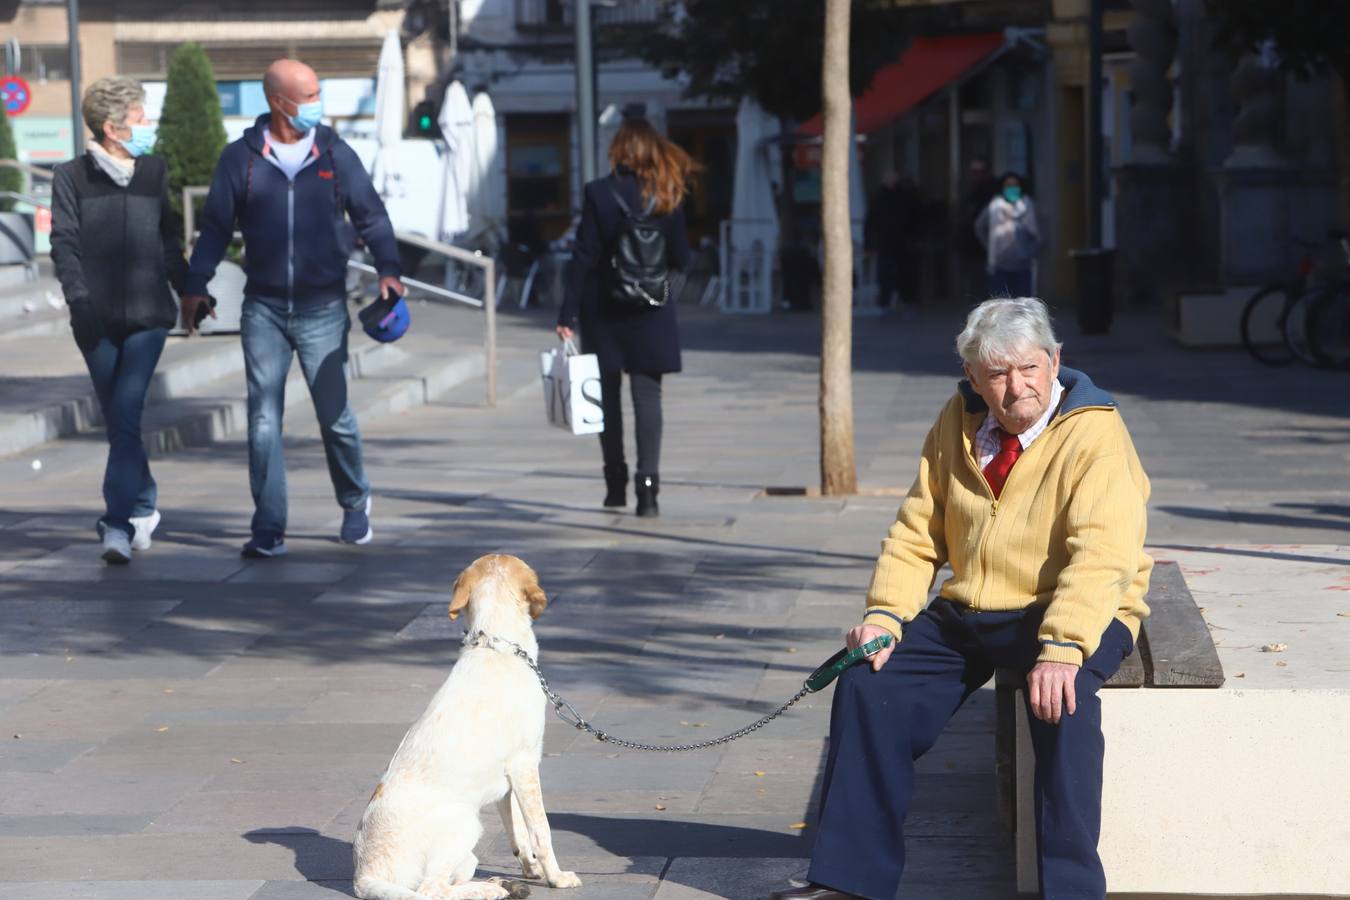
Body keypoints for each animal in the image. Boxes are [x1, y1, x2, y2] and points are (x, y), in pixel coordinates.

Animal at [353, 555, 580, 900]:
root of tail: (364, 874)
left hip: (467, 854)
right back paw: (490, 890)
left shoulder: (509, 782)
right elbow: (540, 829)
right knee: (431, 891)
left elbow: (518, 832)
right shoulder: (525, 764)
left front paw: (532, 871)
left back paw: (499, 884)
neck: (495, 646)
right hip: (467, 824)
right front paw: (556, 877)